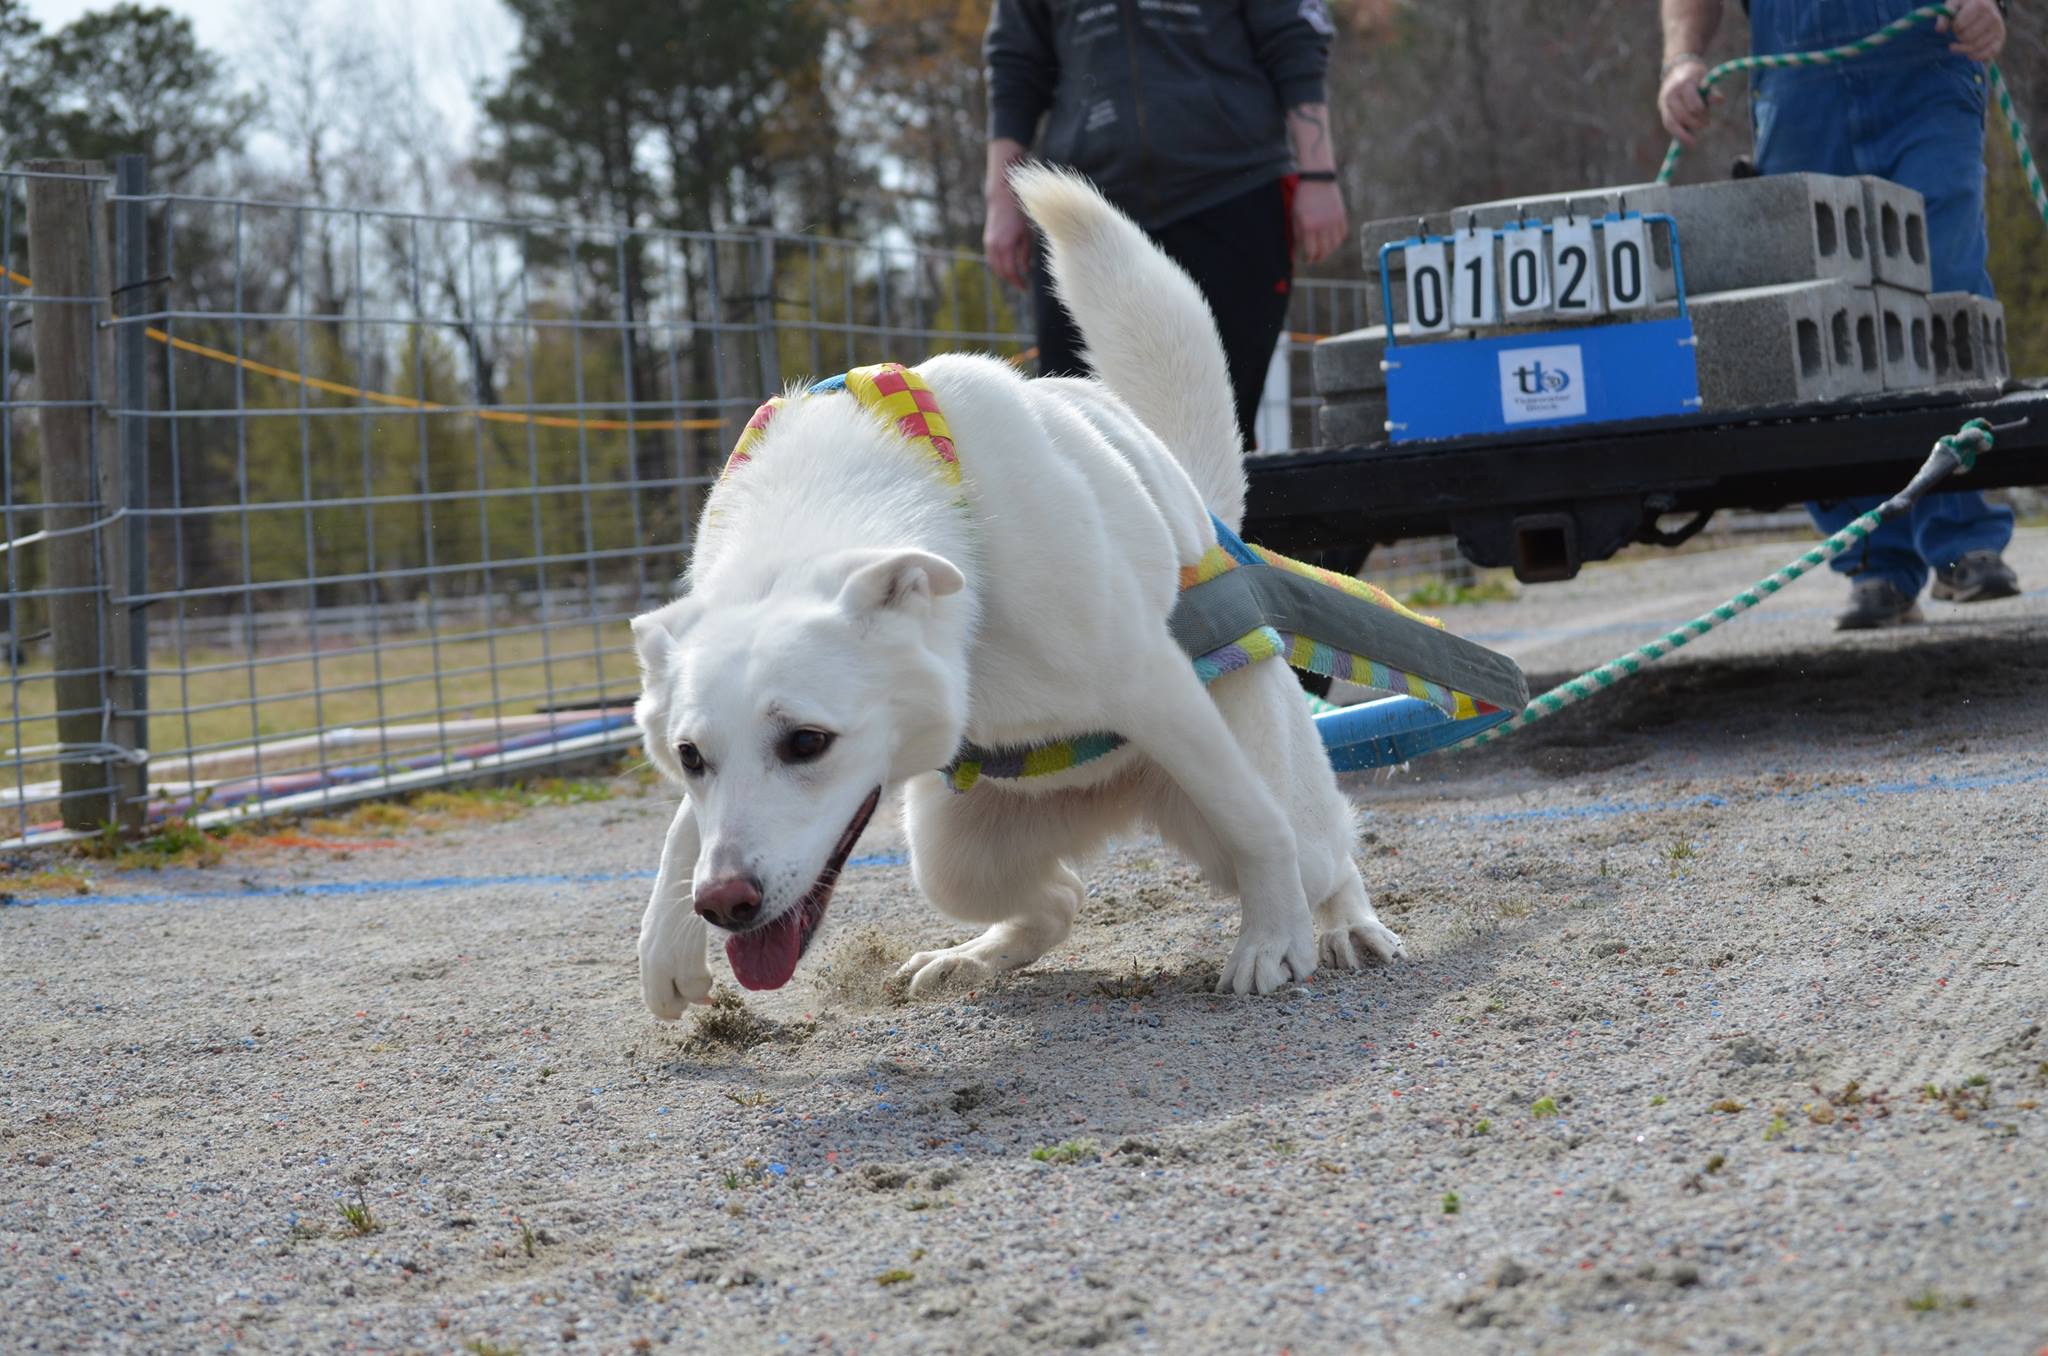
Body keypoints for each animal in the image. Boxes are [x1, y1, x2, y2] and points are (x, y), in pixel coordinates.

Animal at [634, 166, 1409, 1020]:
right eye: (689, 755)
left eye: (807, 742)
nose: (723, 905)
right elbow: (682, 828)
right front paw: (667, 943)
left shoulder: (1156, 687)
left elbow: (1255, 827)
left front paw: (1271, 940)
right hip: (950, 859)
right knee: (1059, 899)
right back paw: (968, 958)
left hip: (1246, 783)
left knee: (1318, 850)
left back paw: (1345, 926)